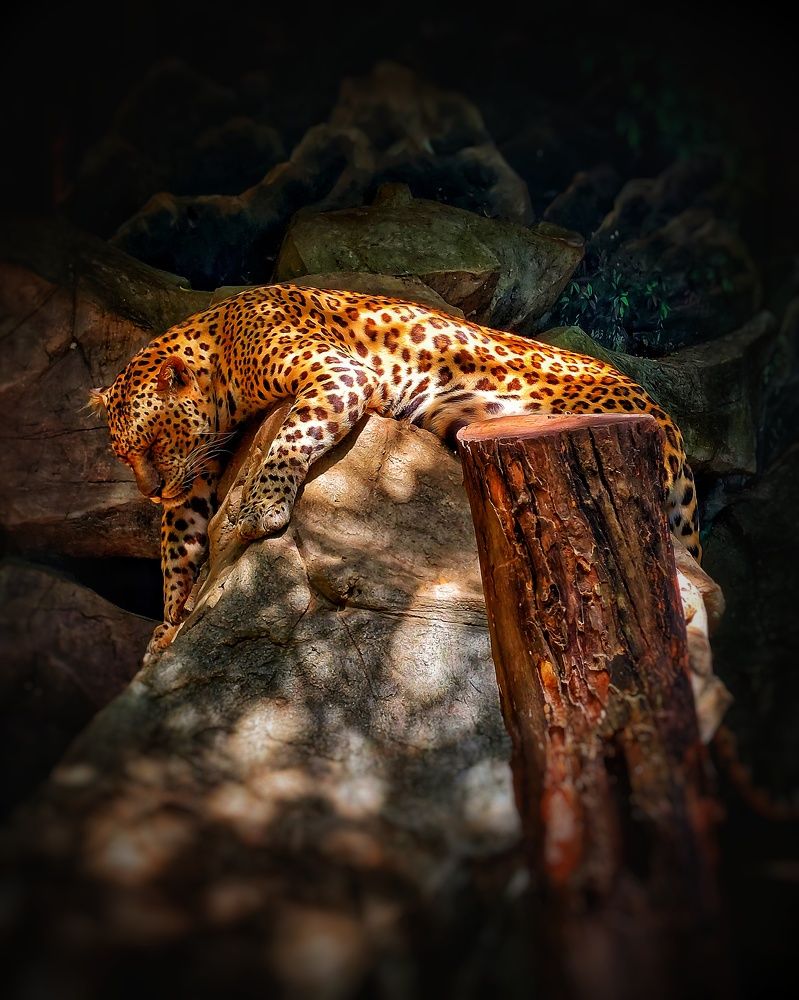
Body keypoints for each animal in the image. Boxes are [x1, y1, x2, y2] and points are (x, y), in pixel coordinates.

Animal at [90, 283, 701, 637]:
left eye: (151, 444)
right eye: (124, 454)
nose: (148, 491)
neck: (220, 349)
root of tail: (664, 417)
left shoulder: (339, 374)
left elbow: (291, 436)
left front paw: (261, 508)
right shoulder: (197, 469)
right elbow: (177, 542)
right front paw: (167, 625)